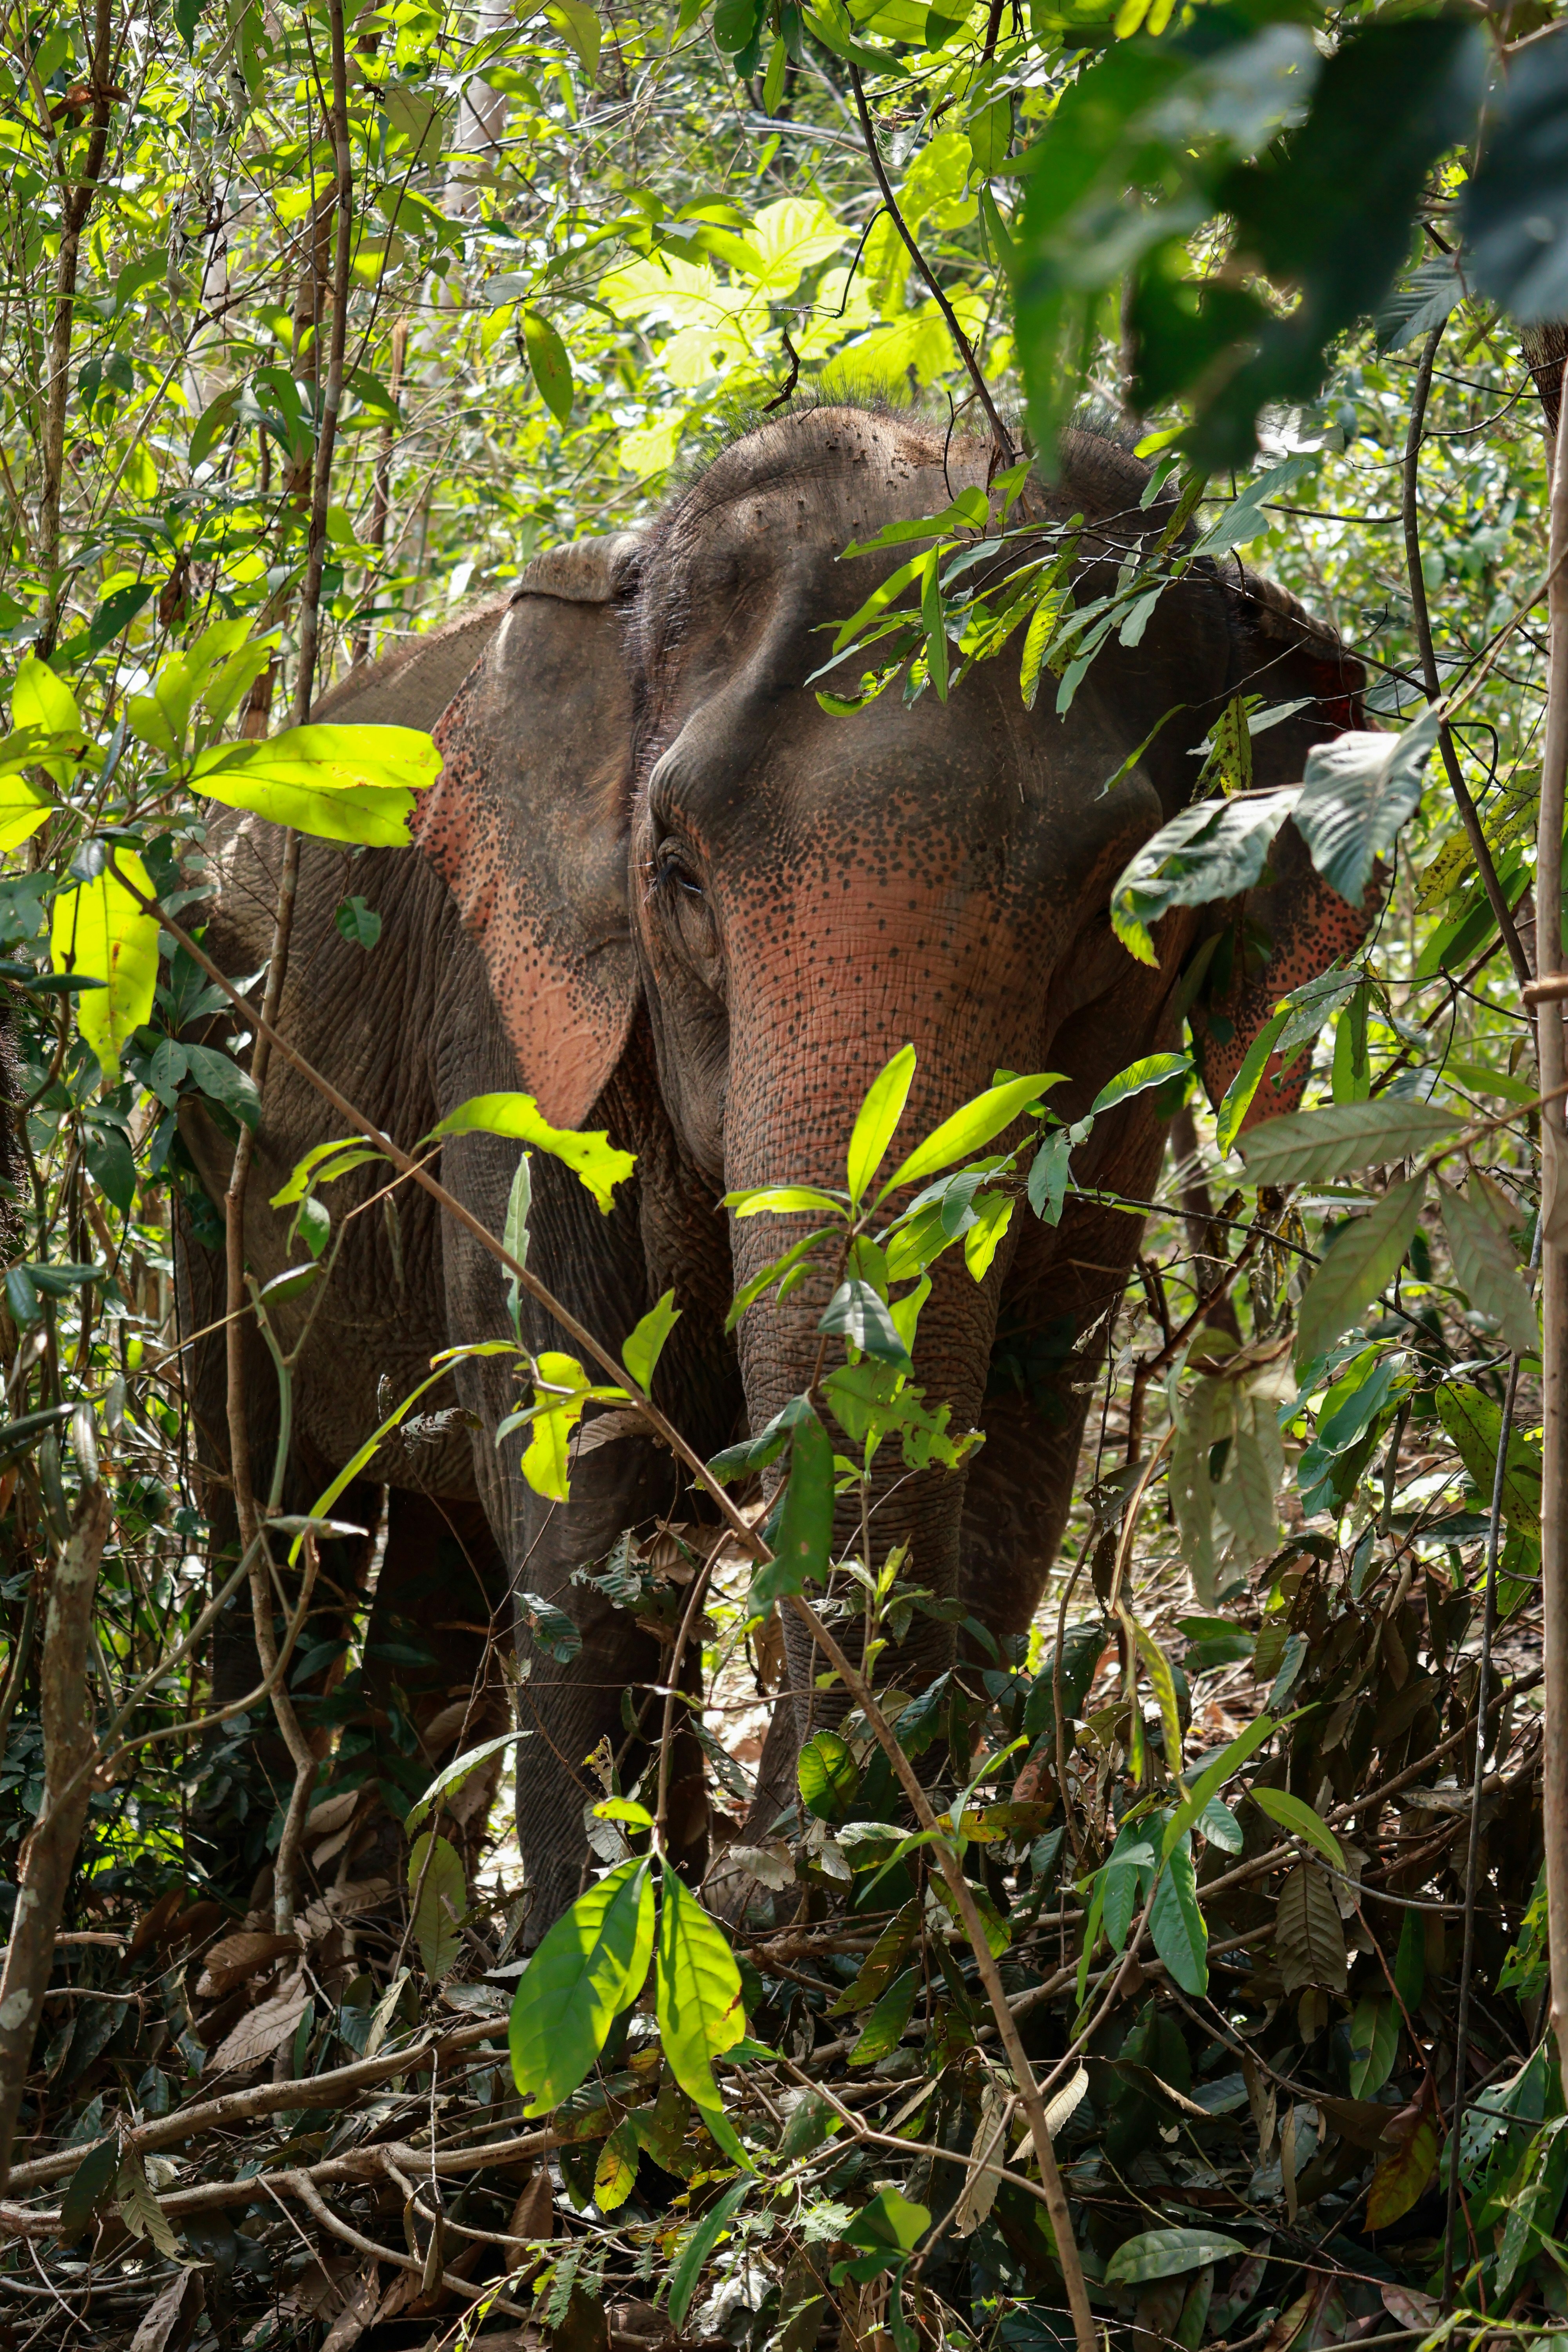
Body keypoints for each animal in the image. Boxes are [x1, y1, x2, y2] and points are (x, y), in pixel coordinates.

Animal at [177, 401, 1367, 1933]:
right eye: (677, 868)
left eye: (1120, 903)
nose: (772, 1880)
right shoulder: (510, 1028)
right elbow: (578, 1460)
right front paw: (596, 1942)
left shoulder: (1118, 1120)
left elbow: (1027, 1437)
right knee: (259, 1484)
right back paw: (249, 1907)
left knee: (437, 1545)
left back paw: (381, 1924)